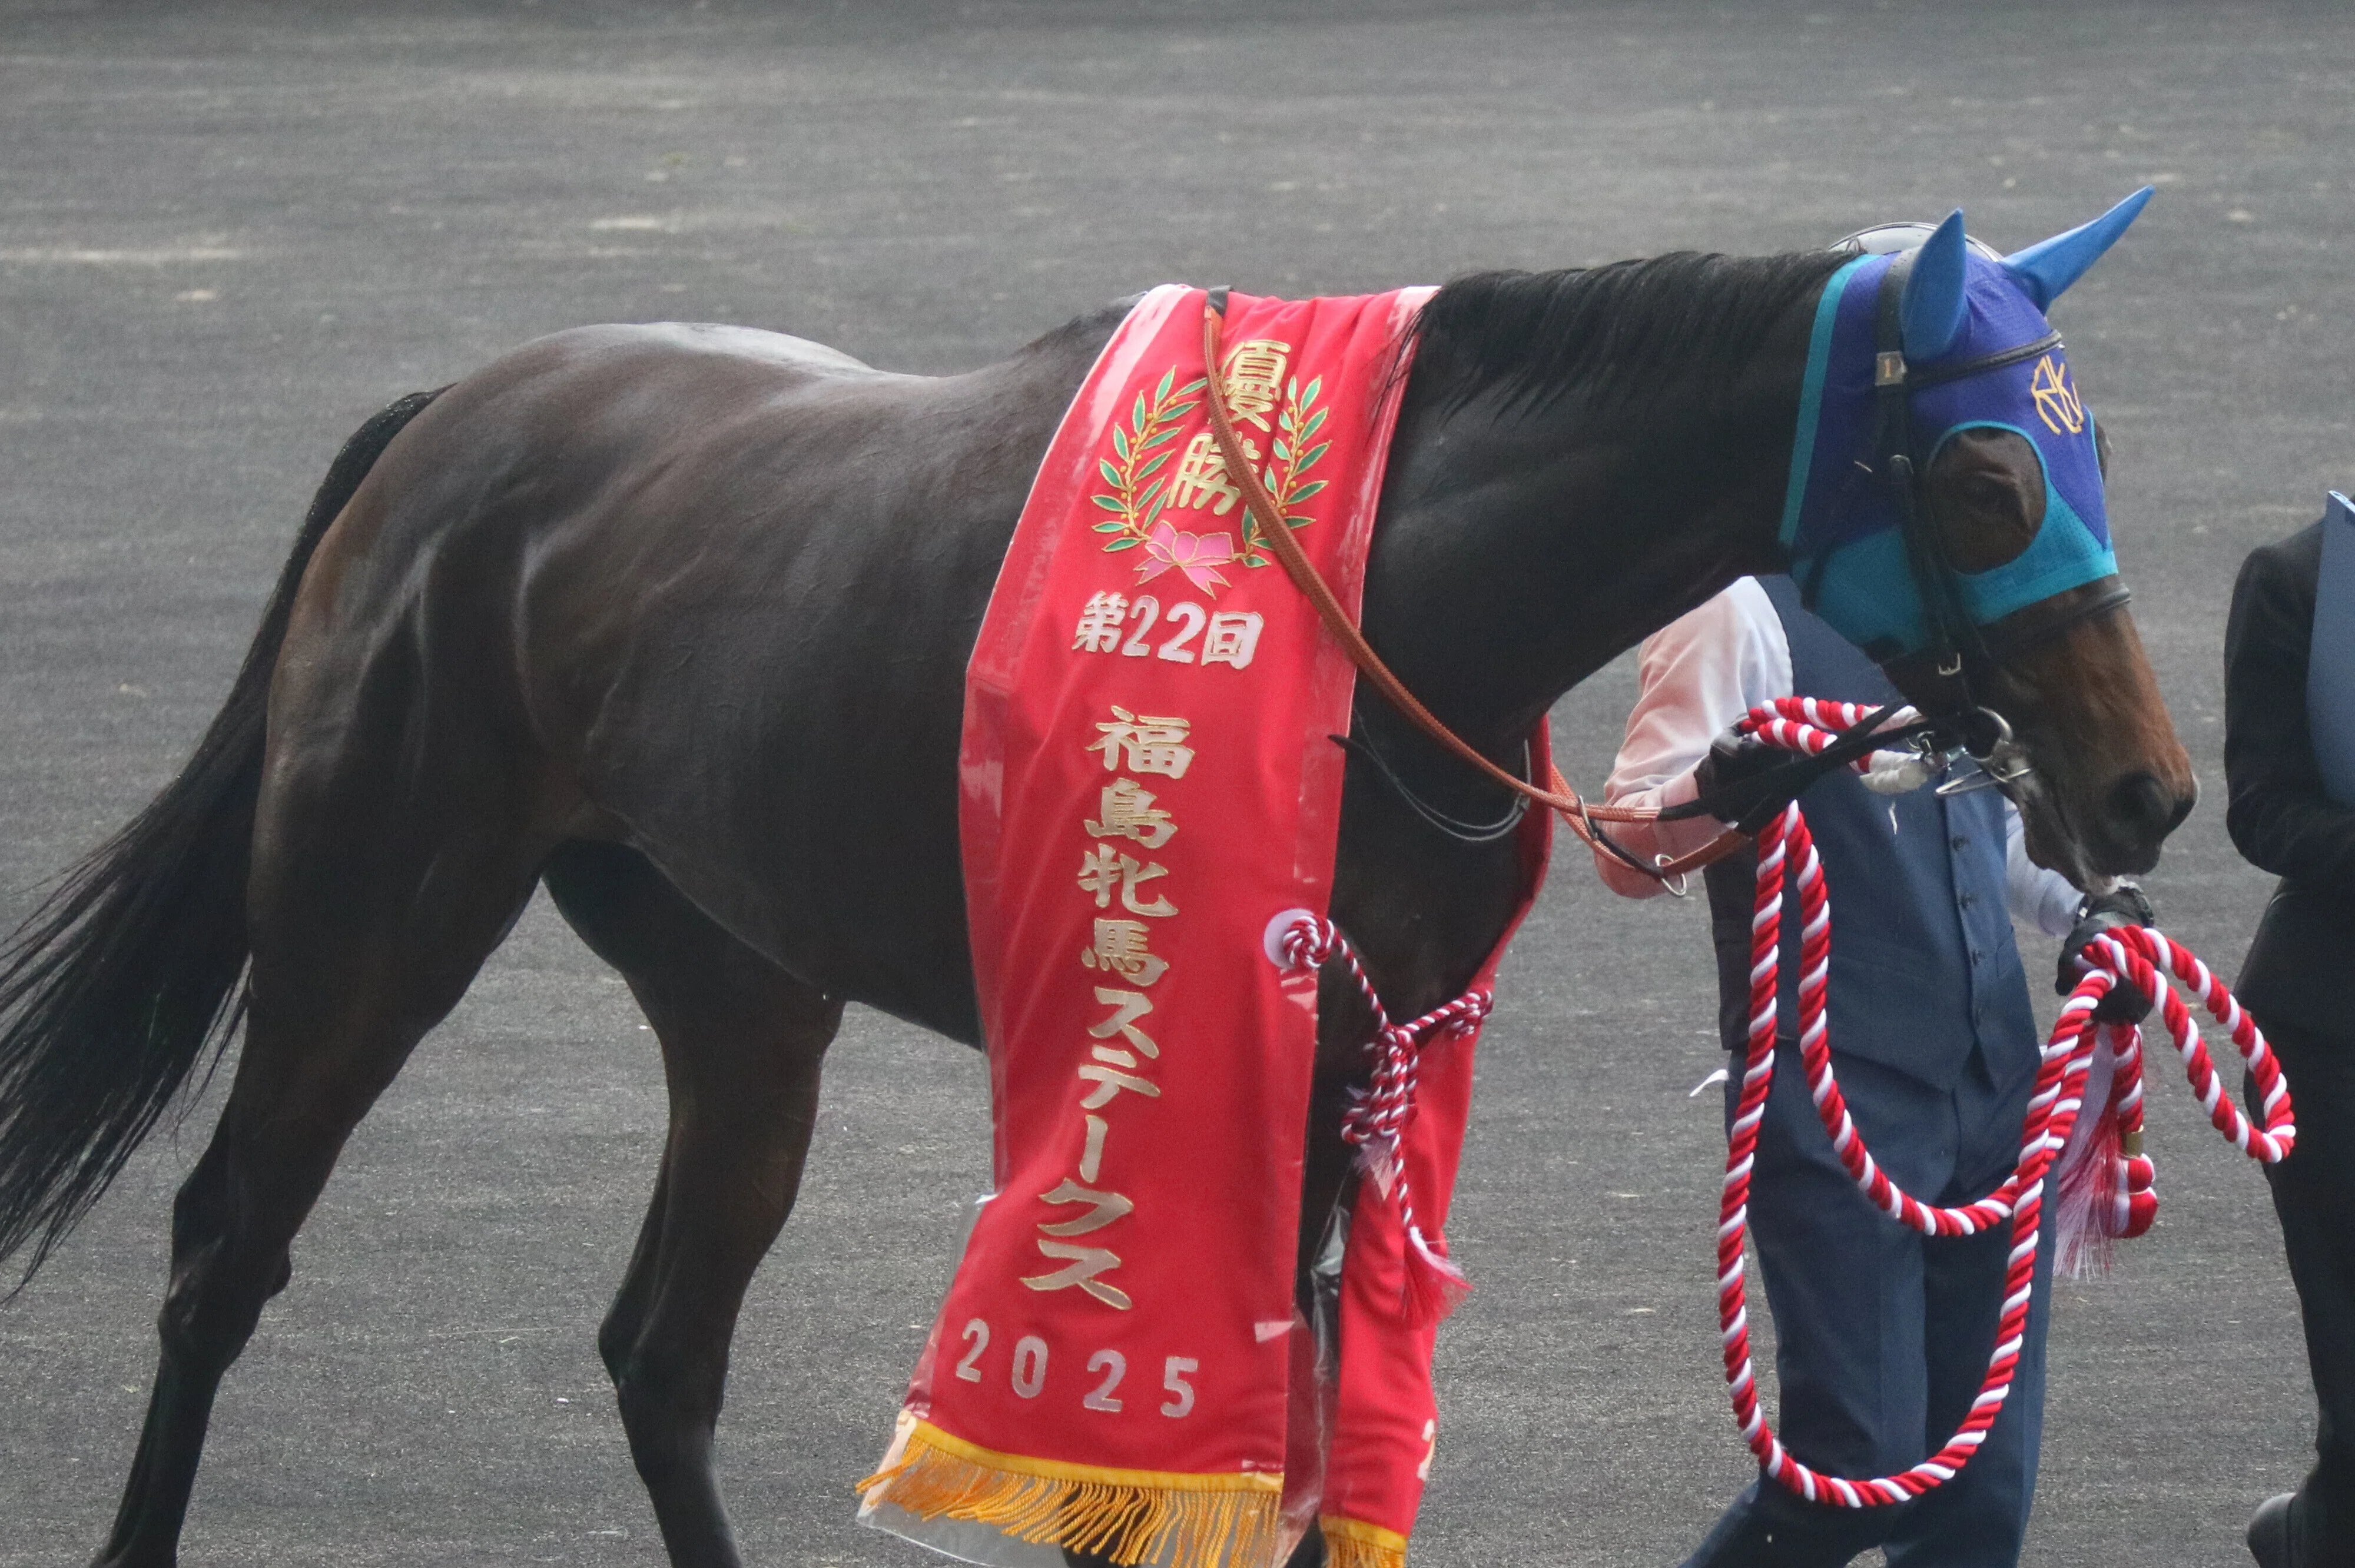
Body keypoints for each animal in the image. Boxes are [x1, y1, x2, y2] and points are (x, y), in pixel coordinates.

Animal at [0, 213, 2193, 1568]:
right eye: (1988, 478)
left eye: (2090, 451)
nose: (2145, 786)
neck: (1385, 590)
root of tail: (449, 417)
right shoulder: (1209, 1054)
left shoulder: (1360, 1057)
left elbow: (1298, 1412)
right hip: (373, 909)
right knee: (224, 1251)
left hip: (741, 980)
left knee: (662, 1343)